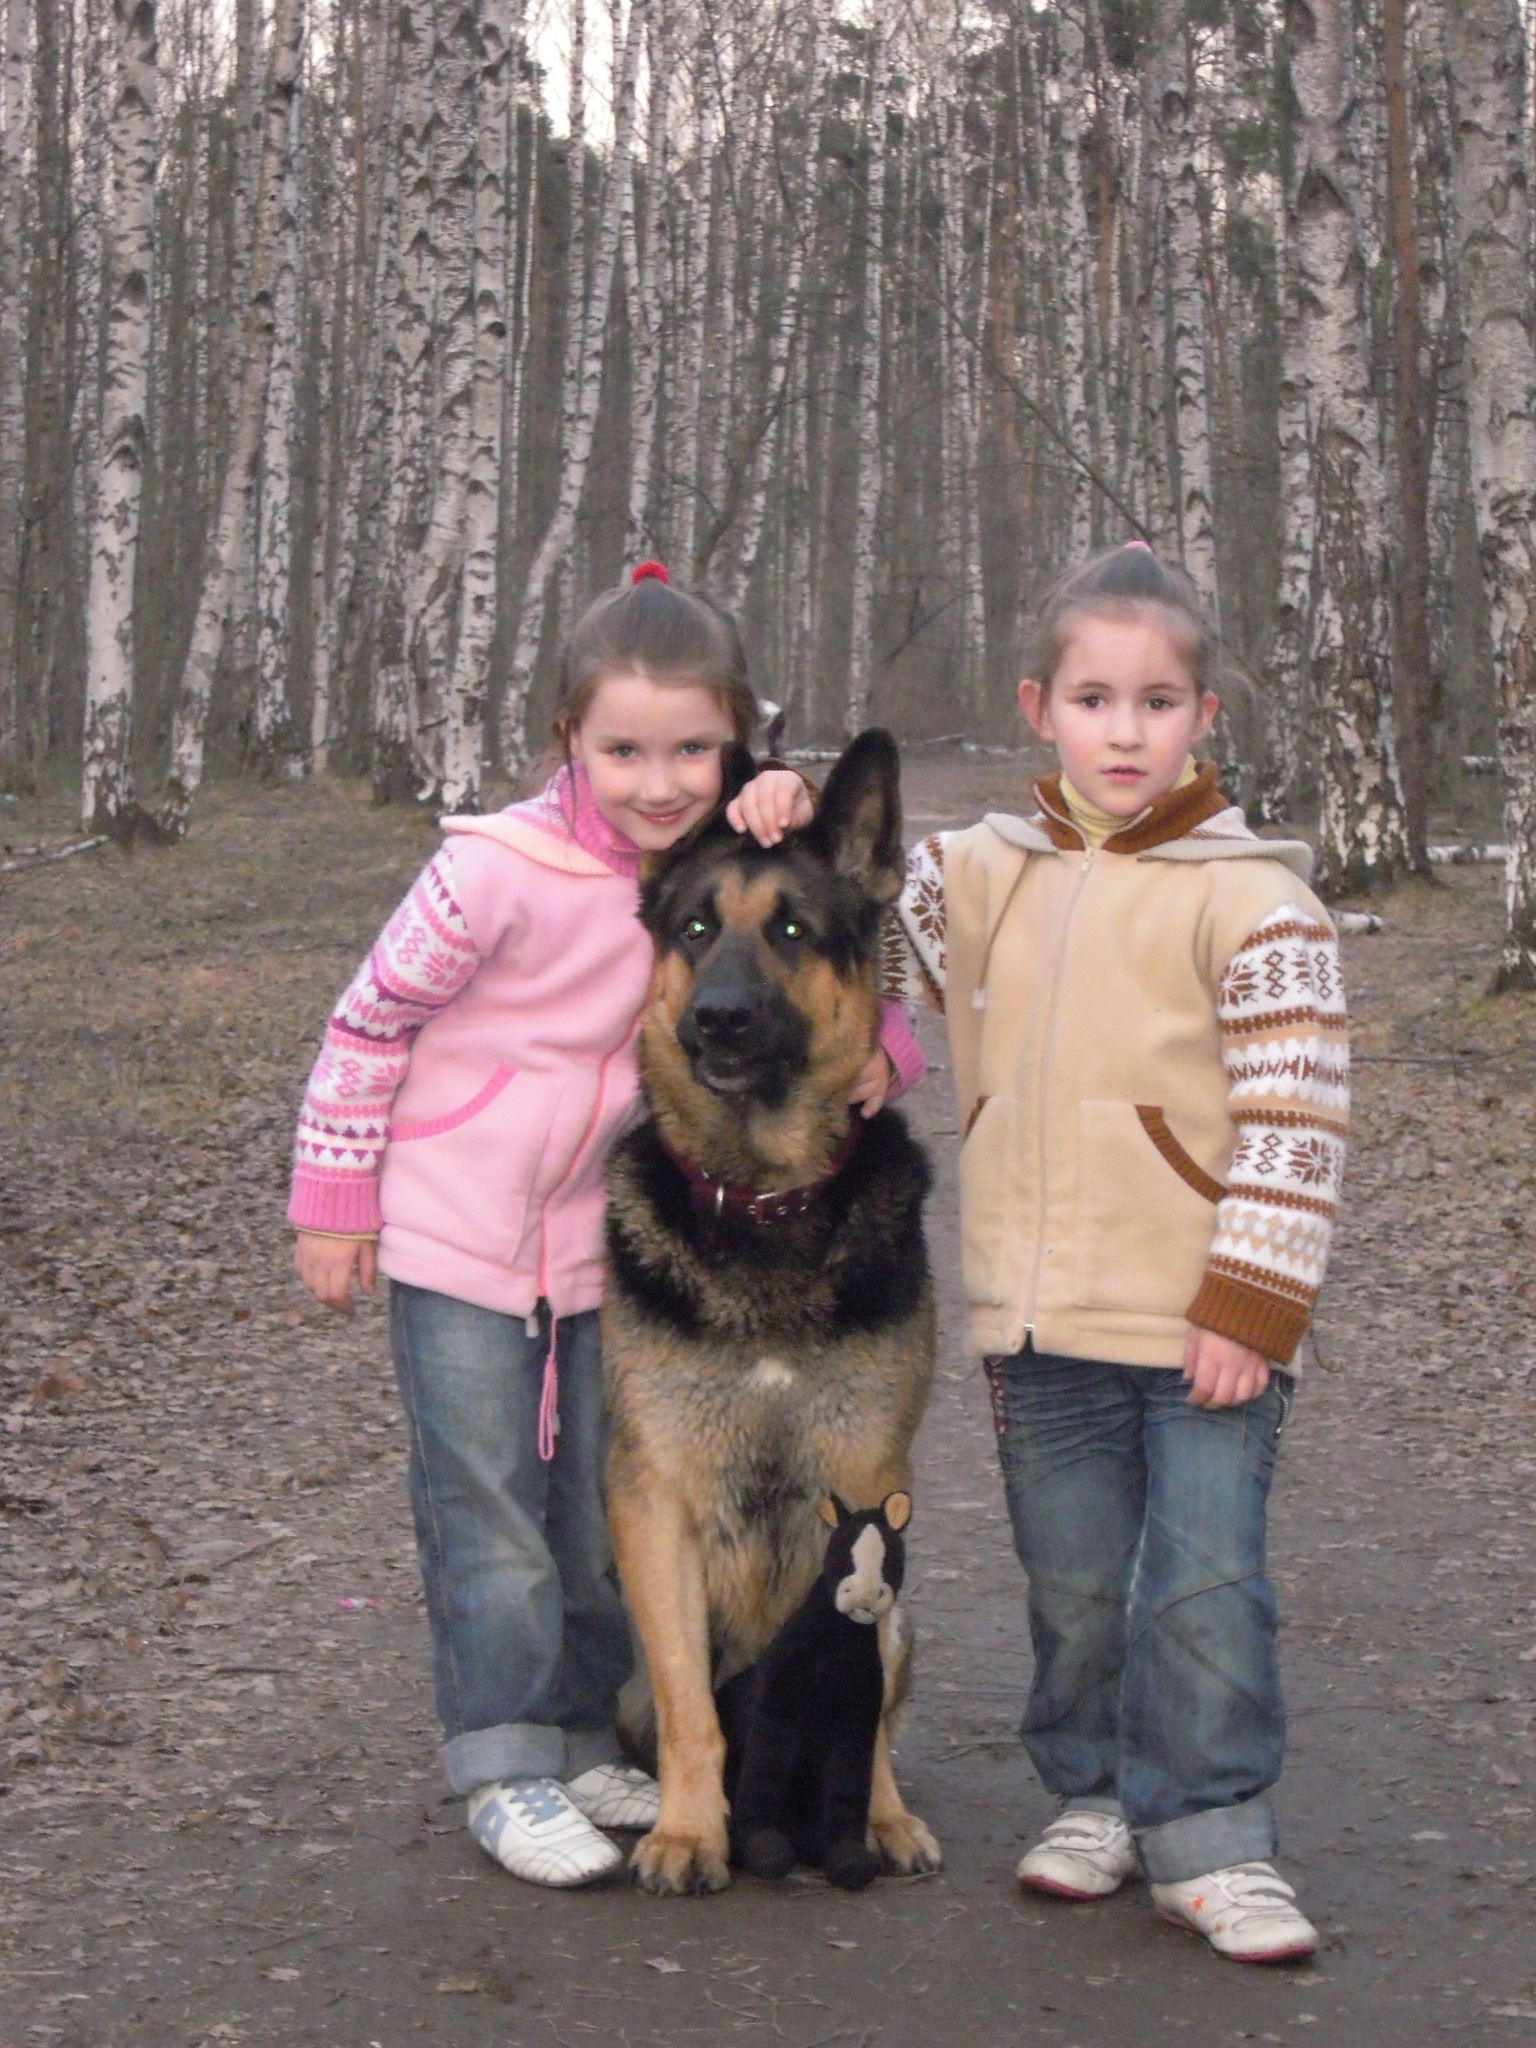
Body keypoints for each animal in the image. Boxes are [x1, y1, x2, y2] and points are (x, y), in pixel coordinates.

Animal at [602, 727, 939, 1896]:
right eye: (695, 929)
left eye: (793, 930)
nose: (717, 1017)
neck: (766, 1203)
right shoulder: (654, 1501)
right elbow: (689, 1708)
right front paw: (690, 1830)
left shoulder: (873, 1481)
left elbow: (866, 1703)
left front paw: (875, 1818)